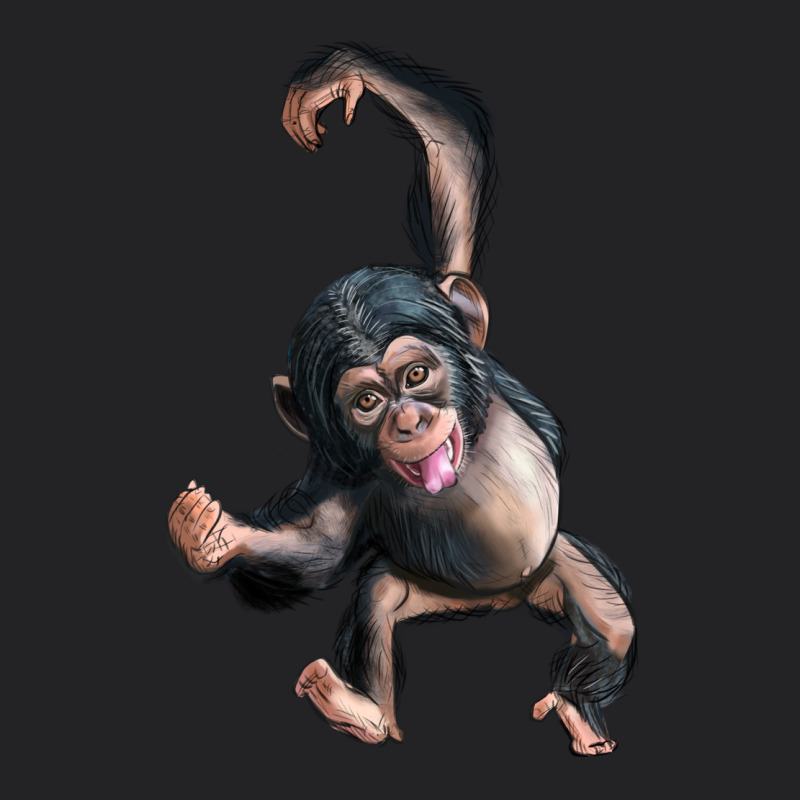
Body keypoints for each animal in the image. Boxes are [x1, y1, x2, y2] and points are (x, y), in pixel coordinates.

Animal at [168, 44, 636, 756]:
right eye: (366, 403)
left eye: (415, 375)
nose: (409, 420)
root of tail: (501, 601)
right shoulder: (345, 479)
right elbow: (324, 544)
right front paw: (212, 535)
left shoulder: (448, 304)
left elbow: (454, 198)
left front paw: (344, 80)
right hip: (429, 591)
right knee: (378, 597)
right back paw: (362, 711)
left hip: (555, 567)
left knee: (612, 625)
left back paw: (577, 705)